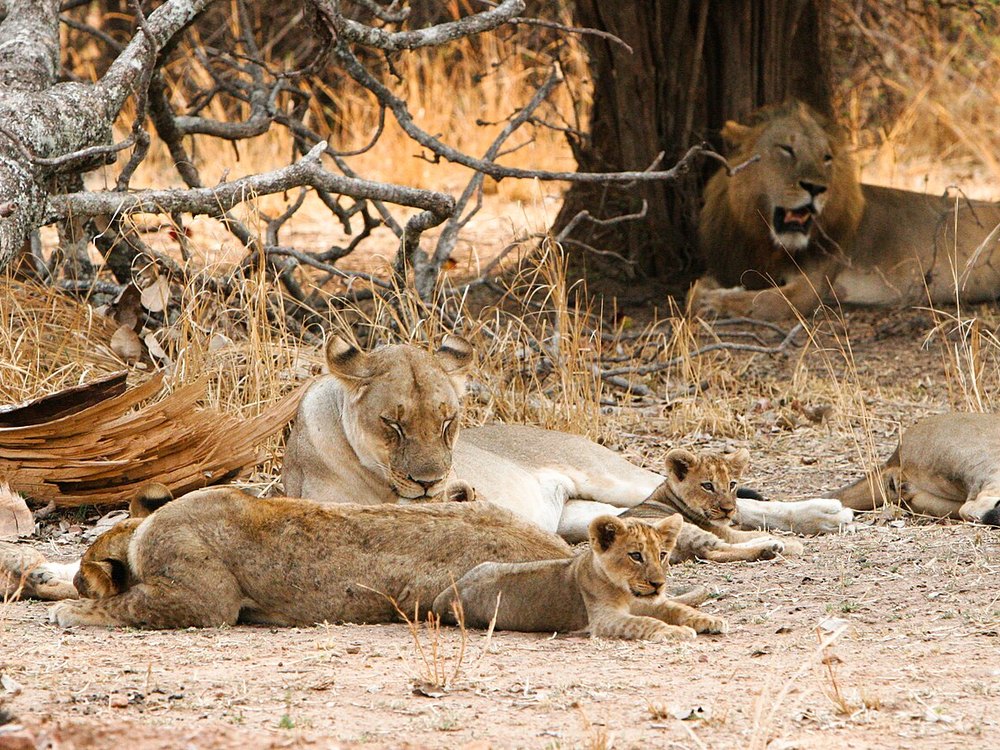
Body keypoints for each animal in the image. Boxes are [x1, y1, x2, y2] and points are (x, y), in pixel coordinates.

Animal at [283, 335, 852, 541]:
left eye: (448, 422)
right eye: (393, 424)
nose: (431, 481)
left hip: (611, 475)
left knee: (737, 503)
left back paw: (826, 513)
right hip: (587, 514)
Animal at [433, 514, 726, 641]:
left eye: (662, 554)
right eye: (635, 556)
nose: (659, 584)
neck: (627, 591)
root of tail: (442, 596)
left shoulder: (653, 602)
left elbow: (678, 609)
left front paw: (710, 620)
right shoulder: (604, 620)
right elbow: (645, 623)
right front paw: (676, 631)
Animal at [691, 100, 1000, 321]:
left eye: (826, 157)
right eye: (787, 149)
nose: (815, 188)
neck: (765, 241)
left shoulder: (811, 286)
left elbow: (761, 301)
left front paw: (717, 301)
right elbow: (693, 291)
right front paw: (708, 296)